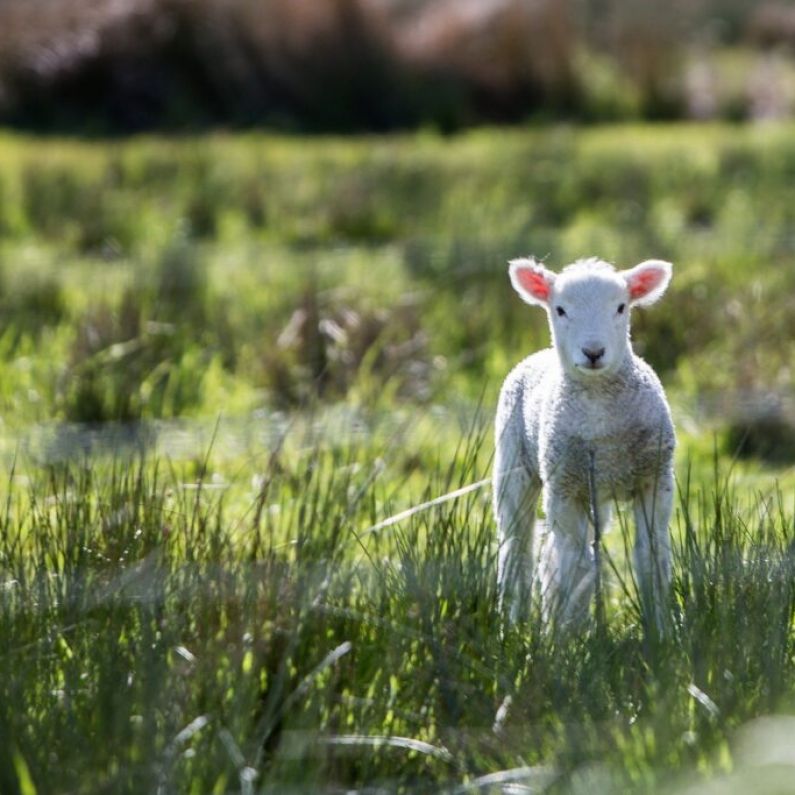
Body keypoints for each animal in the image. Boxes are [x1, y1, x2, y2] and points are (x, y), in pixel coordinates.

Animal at [494, 258, 676, 632]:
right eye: (560, 309)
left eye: (621, 307)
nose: (593, 352)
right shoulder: (564, 489)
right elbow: (575, 566)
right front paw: (570, 636)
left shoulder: (655, 479)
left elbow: (651, 557)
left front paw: (661, 630)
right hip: (514, 465)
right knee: (518, 548)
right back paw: (514, 623)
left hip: (595, 493)